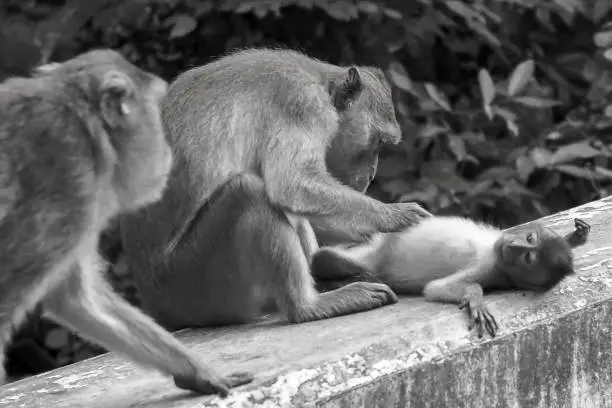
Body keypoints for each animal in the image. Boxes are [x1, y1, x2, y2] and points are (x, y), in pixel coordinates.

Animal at [0, 49, 251, 396]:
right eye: (157, 112)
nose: (169, 149)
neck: (89, 132)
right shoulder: (70, 185)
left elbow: (77, 301)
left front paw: (197, 372)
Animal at [119, 47, 430, 330]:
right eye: (377, 142)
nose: (372, 175)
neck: (320, 81)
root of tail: (156, 309)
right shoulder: (302, 104)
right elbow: (291, 183)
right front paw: (394, 215)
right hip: (194, 285)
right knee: (249, 192)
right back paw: (308, 307)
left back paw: (324, 268)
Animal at [314, 217, 592, 338]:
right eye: (530, 238)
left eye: (529, 258)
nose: (513, 244)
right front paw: (574, 237)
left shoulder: (491, 266)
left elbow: (437, 288)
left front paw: (475, 298)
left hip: (377, 253)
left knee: (327, 258)